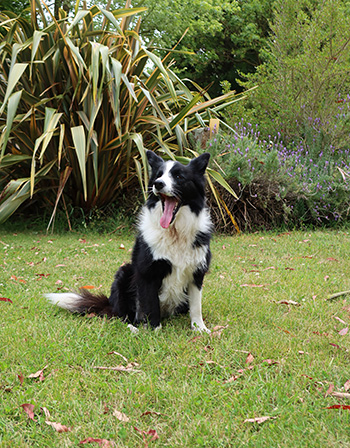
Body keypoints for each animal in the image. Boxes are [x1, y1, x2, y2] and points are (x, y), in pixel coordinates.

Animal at [45, 152, 212, 330]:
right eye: (158, 175)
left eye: (179, 176)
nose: (158, 184)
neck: (175, 232)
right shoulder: (147, 273)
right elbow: (150, 306)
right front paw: (153, 330)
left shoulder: (197, 273)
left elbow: (196, 306)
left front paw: (200, 328)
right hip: (124, 273)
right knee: (123, 315)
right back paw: (133, 327)